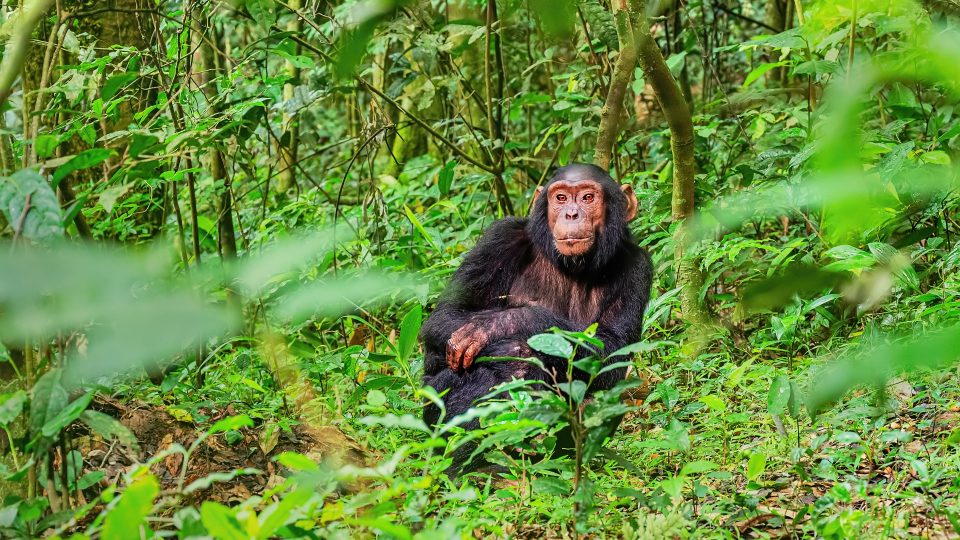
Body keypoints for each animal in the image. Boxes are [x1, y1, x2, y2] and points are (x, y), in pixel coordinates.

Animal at [420, 161, 652, 472]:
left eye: (588, 198)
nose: (571, 213)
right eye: (561, 198)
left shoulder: (637, 267)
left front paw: (498, 326)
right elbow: (446, 315)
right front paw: (500, 342)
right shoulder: (500, 237)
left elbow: (612, 350)